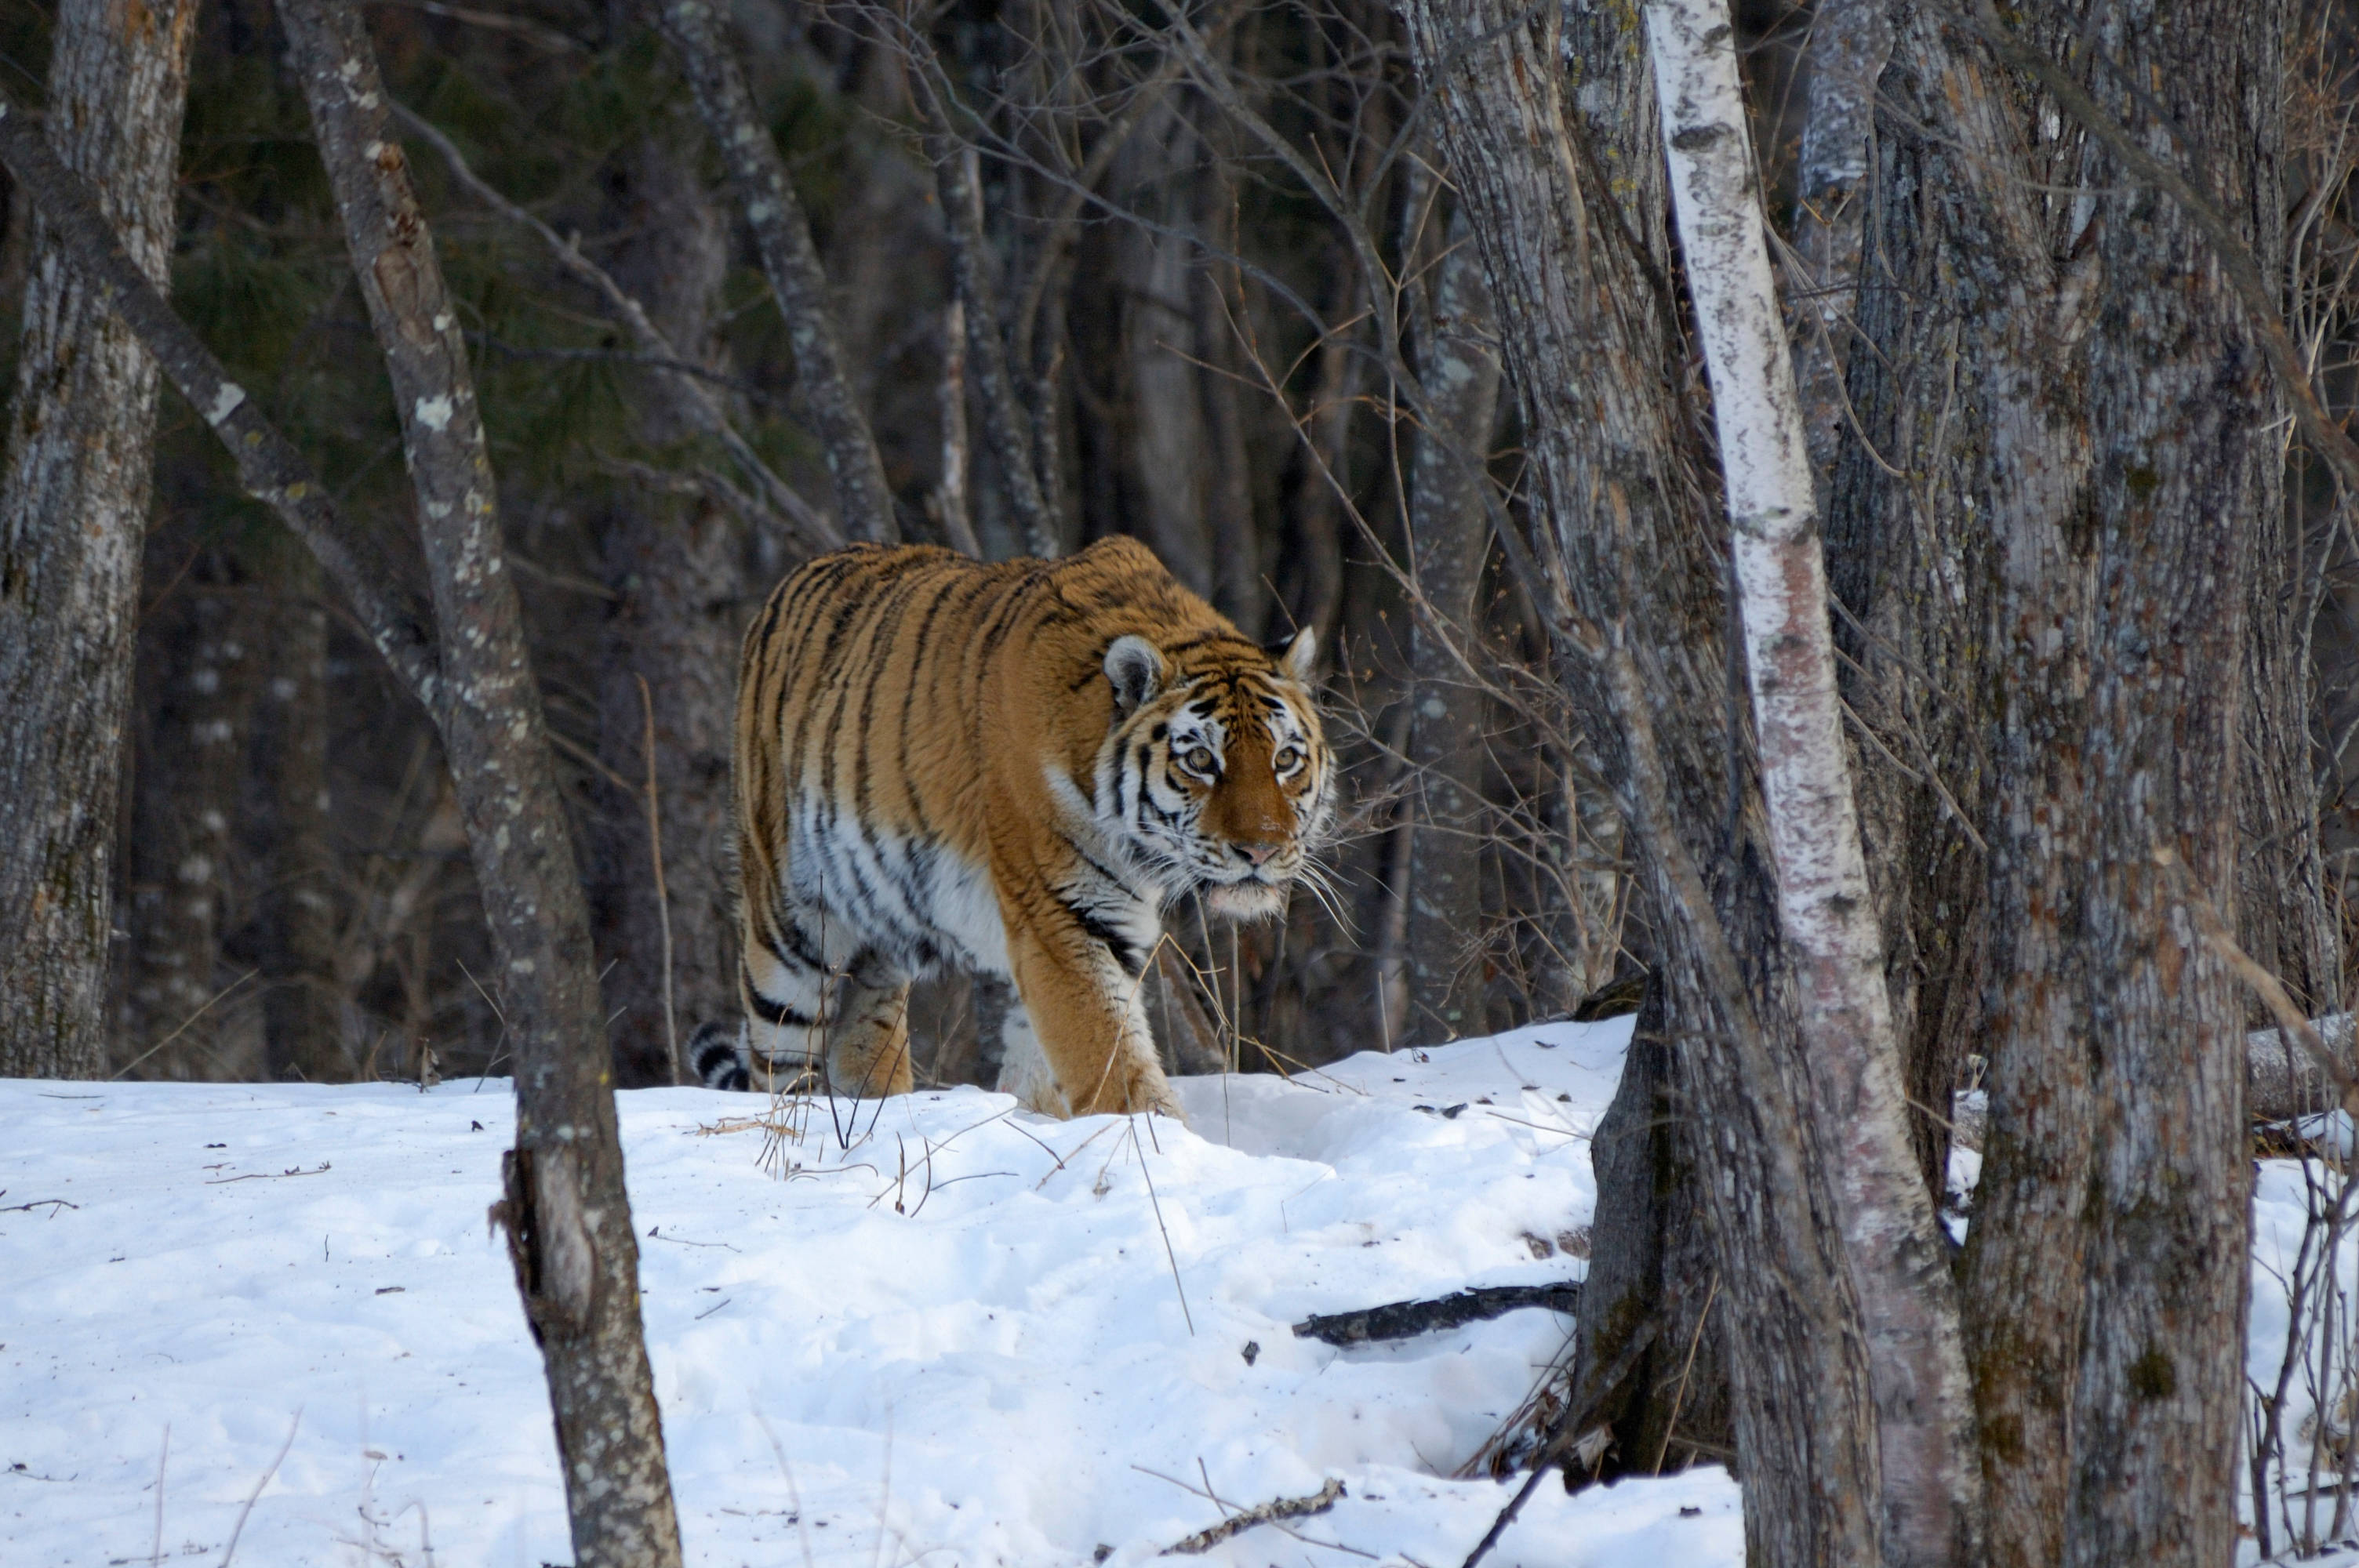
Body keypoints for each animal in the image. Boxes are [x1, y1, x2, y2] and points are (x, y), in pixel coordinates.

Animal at [689, 532, 1339, 1117]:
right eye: (1201, 760)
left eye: (1285, 759)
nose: (1261, 850)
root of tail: (789, 583)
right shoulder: (1060, 914)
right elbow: (1111, 1060)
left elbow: (1045, 1065)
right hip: (789, 929)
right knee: (778, 1063)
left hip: (880, 936)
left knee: (864, 1037)